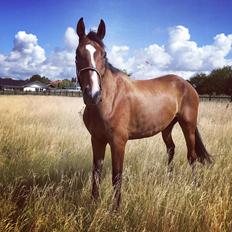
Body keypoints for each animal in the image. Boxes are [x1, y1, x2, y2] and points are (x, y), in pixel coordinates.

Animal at [75, 18, 211, 210]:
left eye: (104, 54)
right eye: (77, 54)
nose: (92, 94)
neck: (109, 99)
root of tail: (187, 84)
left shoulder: (118, 142)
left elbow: (117, 175)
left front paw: (115, 209)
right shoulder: (97, 139)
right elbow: (96, 172)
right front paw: (93, 203)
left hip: (188, 125)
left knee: (192, 157)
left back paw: (194, 185)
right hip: (167, 127)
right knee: (171, 149)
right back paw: (169, 181)